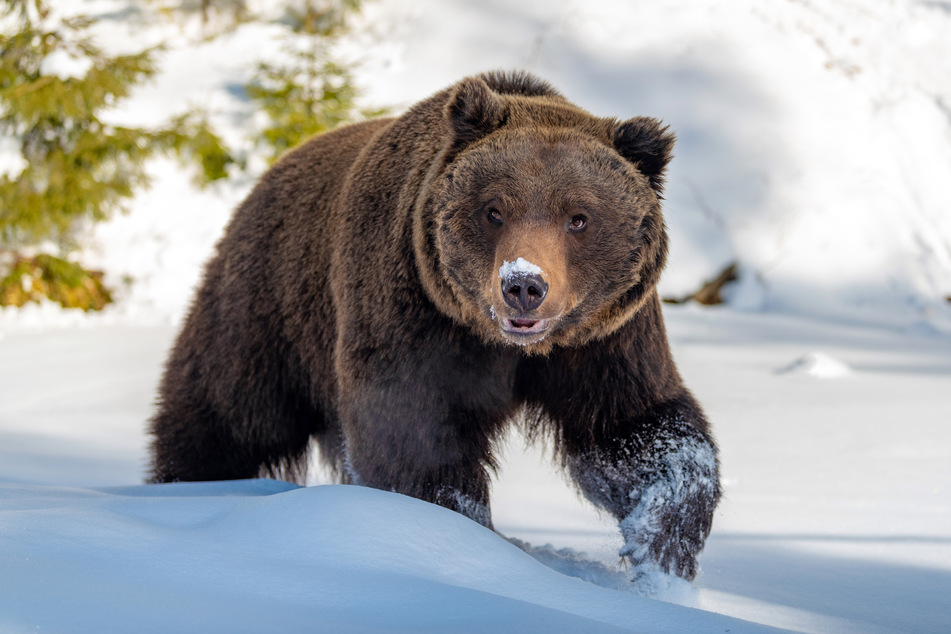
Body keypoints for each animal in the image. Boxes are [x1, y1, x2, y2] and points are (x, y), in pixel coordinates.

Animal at [148, 70, 720, 581]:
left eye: (578, 217)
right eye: (494, 209)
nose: (524, 284)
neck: (504, 344)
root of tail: (275, 169)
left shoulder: (603, 339)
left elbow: (633, 429)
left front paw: (662, 545)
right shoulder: (414, 311)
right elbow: (414, 434)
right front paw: (459, 532)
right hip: (271, 304)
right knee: (224, 412)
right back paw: (181, 486)